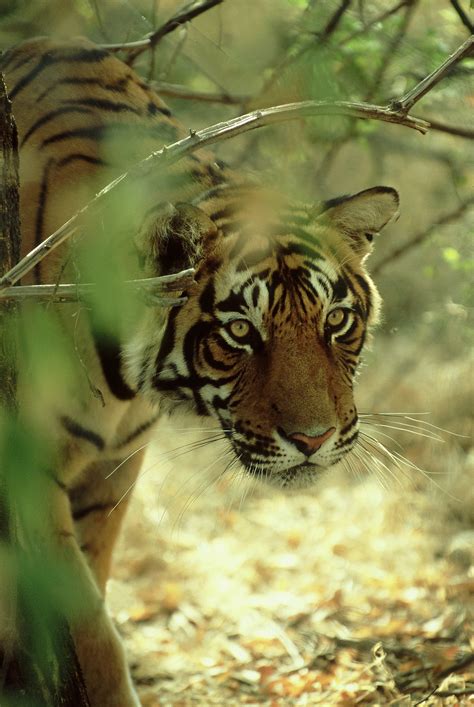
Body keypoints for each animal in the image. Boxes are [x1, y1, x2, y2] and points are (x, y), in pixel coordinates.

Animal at [0, 37, 399, 706]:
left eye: (337, 319)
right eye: (240, 332)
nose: (315, 440)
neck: (126, 387)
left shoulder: (114, 466)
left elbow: (90, 584)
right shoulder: (27, 466)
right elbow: (86, 624)